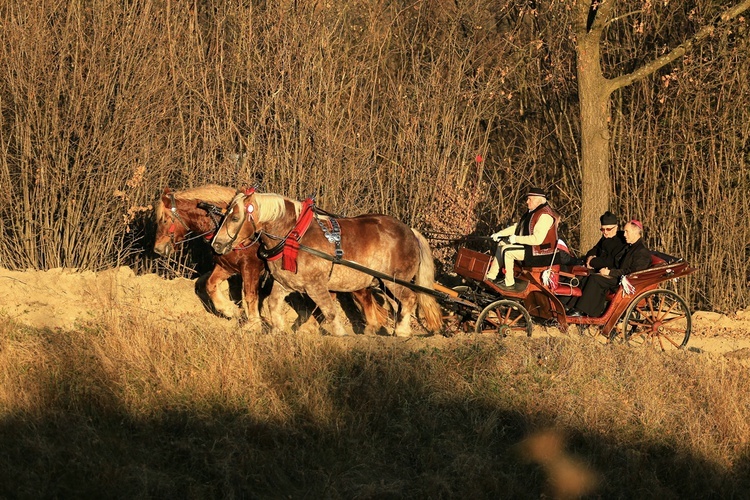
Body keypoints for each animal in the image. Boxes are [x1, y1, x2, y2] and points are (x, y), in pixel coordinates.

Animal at [151, 186, 266, 326]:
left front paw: (253, 324)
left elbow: (250, 295)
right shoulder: (226, 266)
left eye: (164, 220)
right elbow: (210, 285)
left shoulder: (250, 268)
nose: (158, 248)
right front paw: (230, 309)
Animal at [210, 189, 446, 338]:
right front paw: (278, 330)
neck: (293, 237)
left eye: (235, 218)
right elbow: (273, 304)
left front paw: (339, 334)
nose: (217, 244)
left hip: (395, 280)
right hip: (382, 282)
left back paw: (402, 331)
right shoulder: (284, 283)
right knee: (396, 305)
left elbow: (328, 310)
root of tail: (410, 231)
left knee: (410, 299)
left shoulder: (316, 285)